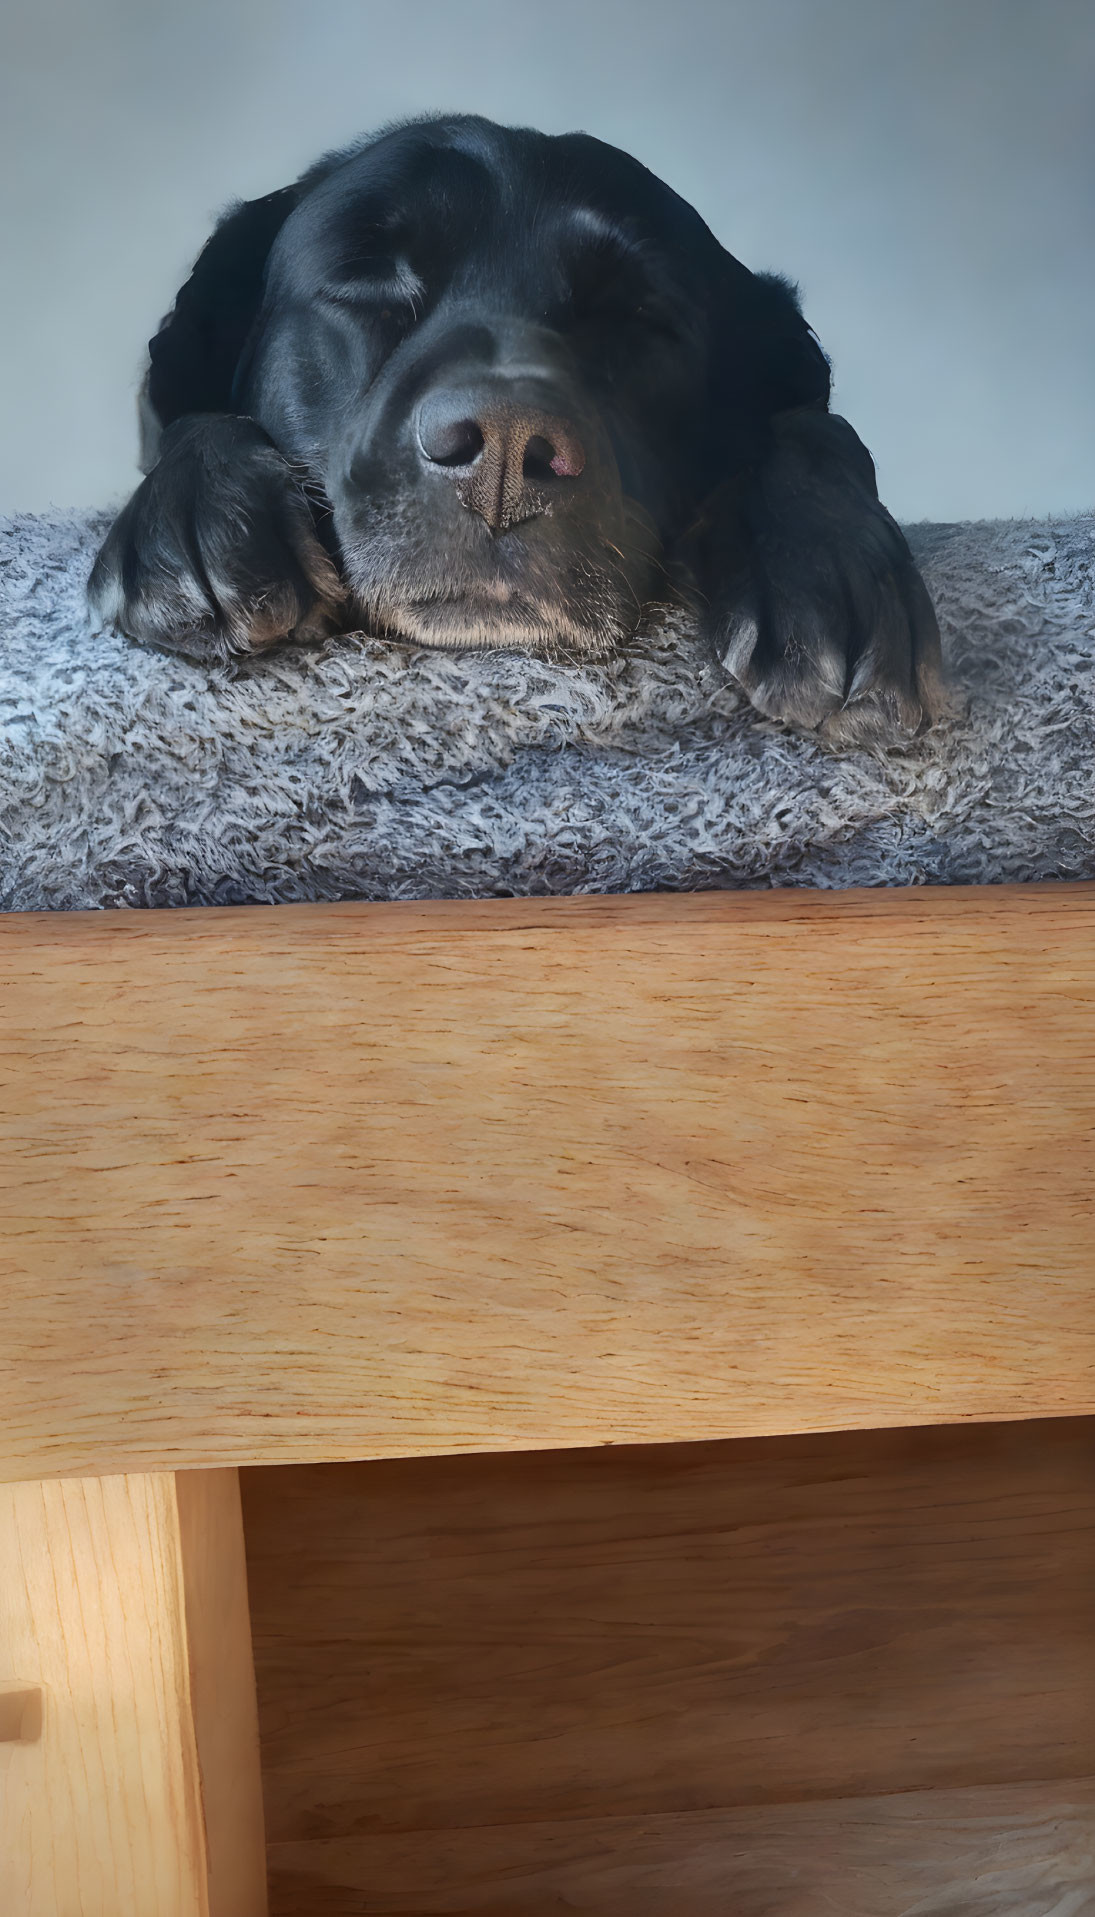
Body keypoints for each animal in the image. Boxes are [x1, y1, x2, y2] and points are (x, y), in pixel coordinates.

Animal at [90, 110, 943, 739]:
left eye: (637, 314)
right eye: (366, 278)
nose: (503, 448)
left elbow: (814, 428)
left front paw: (828, 564)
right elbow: (189, 423)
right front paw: (196, 514)